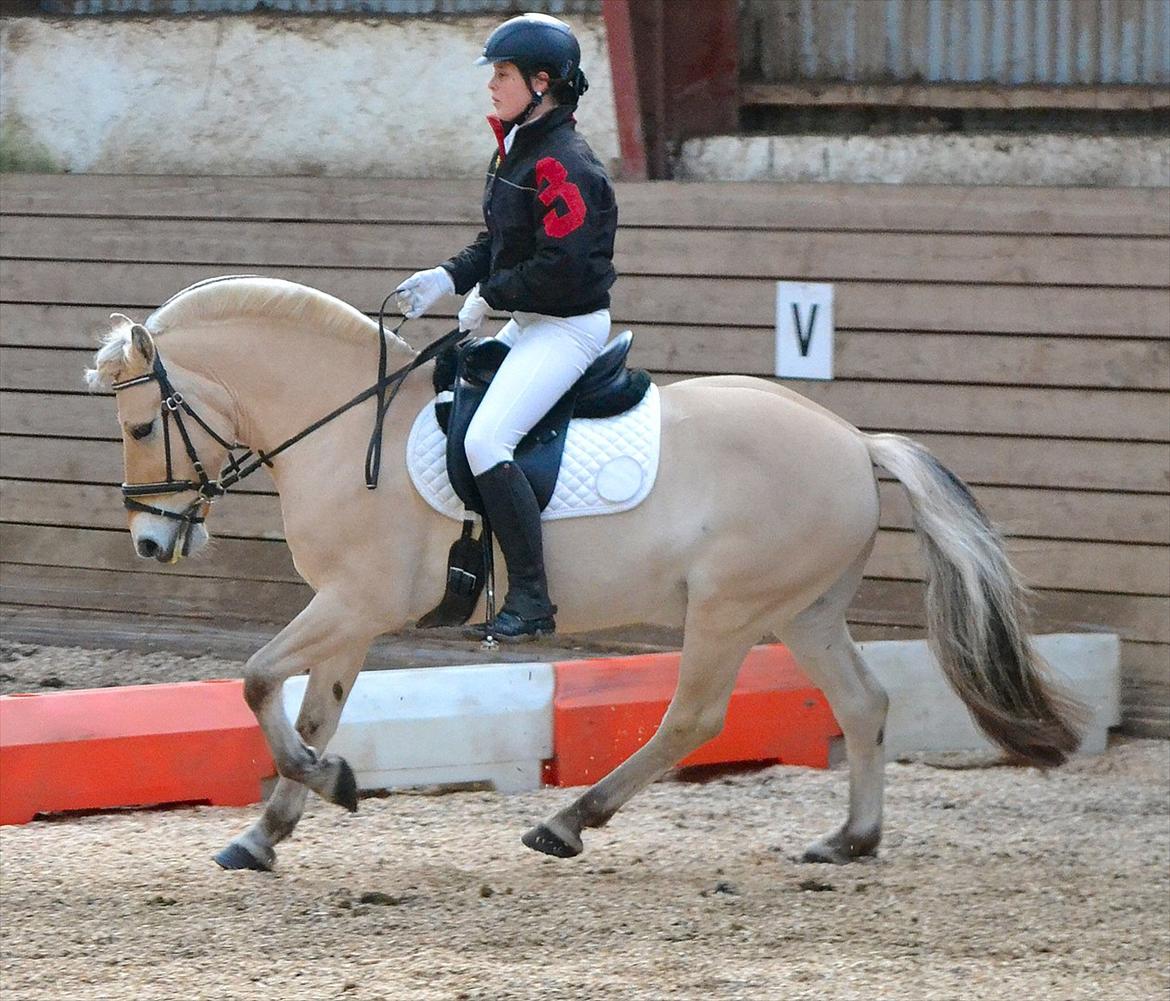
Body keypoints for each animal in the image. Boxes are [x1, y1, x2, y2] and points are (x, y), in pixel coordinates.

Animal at [86, 276, 1082, 872]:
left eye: (138, 427)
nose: (150, 543)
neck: (343, 425)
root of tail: (851, 439)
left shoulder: (356, 601)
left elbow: (258, 680)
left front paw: (328, 784)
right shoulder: (351, 615)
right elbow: (309, 710)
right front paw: (268, 830)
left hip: (730, 609)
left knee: (694, 717)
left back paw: (568, 821)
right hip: (805, 612)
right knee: (865, 705)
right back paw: (849, 838)